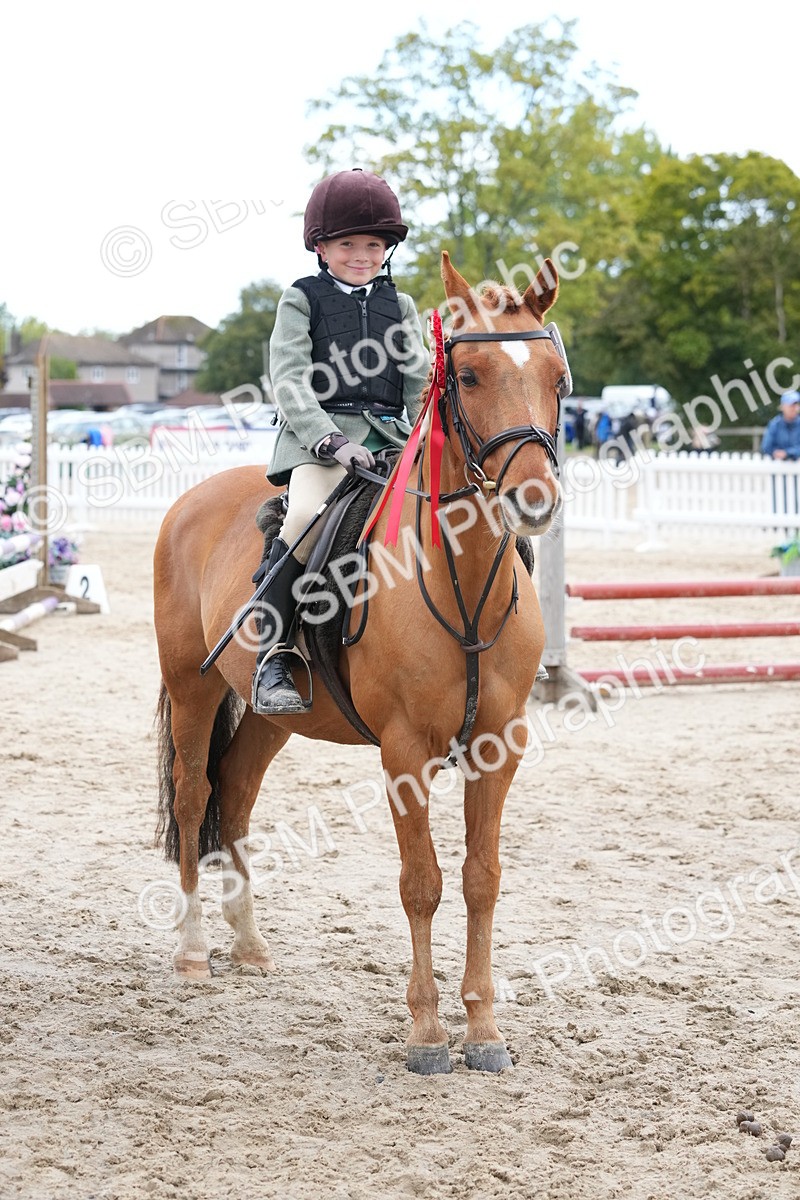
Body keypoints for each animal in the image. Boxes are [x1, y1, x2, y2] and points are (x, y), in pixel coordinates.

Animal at [153, 251, 567, 1075]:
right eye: (467, 375)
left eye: (558, 376)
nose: (534, 500)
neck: (459, 579)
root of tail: (194, 499)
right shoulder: (406, 751)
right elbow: (421, 883)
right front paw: (428, 1034)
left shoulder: (497, 747)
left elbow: (481, 879)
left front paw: (484, 1030)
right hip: (192, 689)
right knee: (192, 799)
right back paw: (192, 952)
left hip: (272, 717)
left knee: (235, 795)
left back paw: (249, 947)